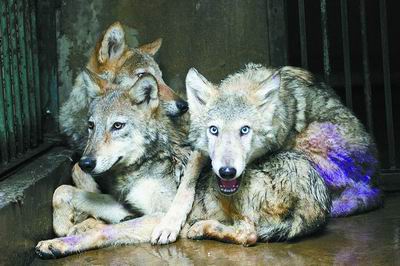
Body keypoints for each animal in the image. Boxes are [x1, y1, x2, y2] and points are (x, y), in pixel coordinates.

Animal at [35, 64, 382, 258]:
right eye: (91, 126)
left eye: (118, 126)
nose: (87, 161)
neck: (143, 165)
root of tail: (318, 202)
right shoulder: (127, 207)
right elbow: (62, 192)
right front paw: (66, 224)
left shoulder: (154, 217)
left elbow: (102, 233)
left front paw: (59, 242)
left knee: (249, 234)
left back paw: (201, 228)